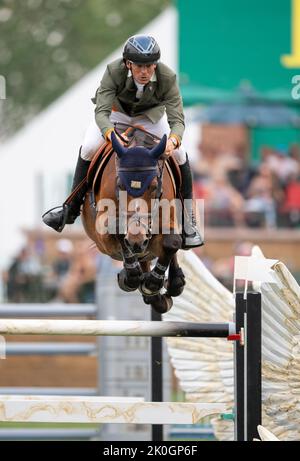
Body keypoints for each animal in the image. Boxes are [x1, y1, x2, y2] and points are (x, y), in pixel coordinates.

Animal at [81, 124, 185, 312]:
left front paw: (153, 282)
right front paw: (131, 276)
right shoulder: (102, 232)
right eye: (120, 185)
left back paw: (172, 283)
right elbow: (117, 231)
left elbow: (173, 241)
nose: (137, 242)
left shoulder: (168, 220)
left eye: (153, 187)